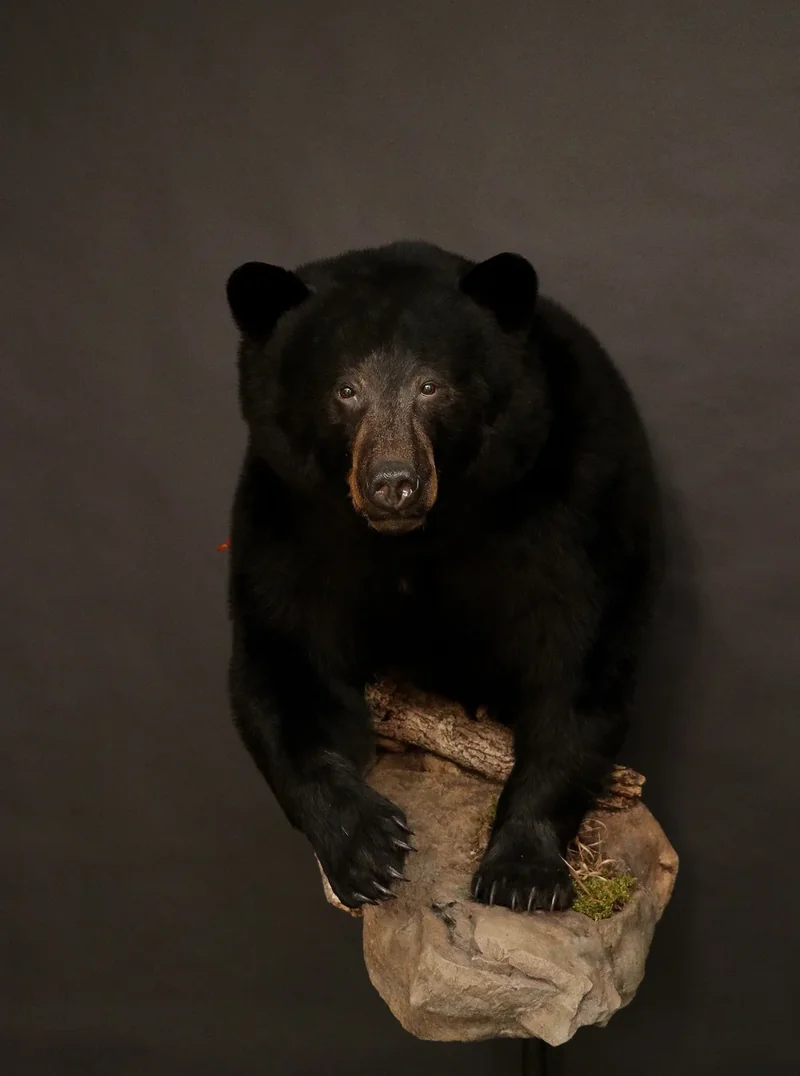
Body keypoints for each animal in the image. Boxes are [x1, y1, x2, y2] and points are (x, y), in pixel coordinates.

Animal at [224, 240, 662, 914]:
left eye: (431, 386)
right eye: (345, 389)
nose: (393, 483)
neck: (420, 536)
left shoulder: (569, 507)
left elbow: (577, 662)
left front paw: (522, 870)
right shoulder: (291, 519)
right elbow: (278, 660)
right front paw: (366, 848)